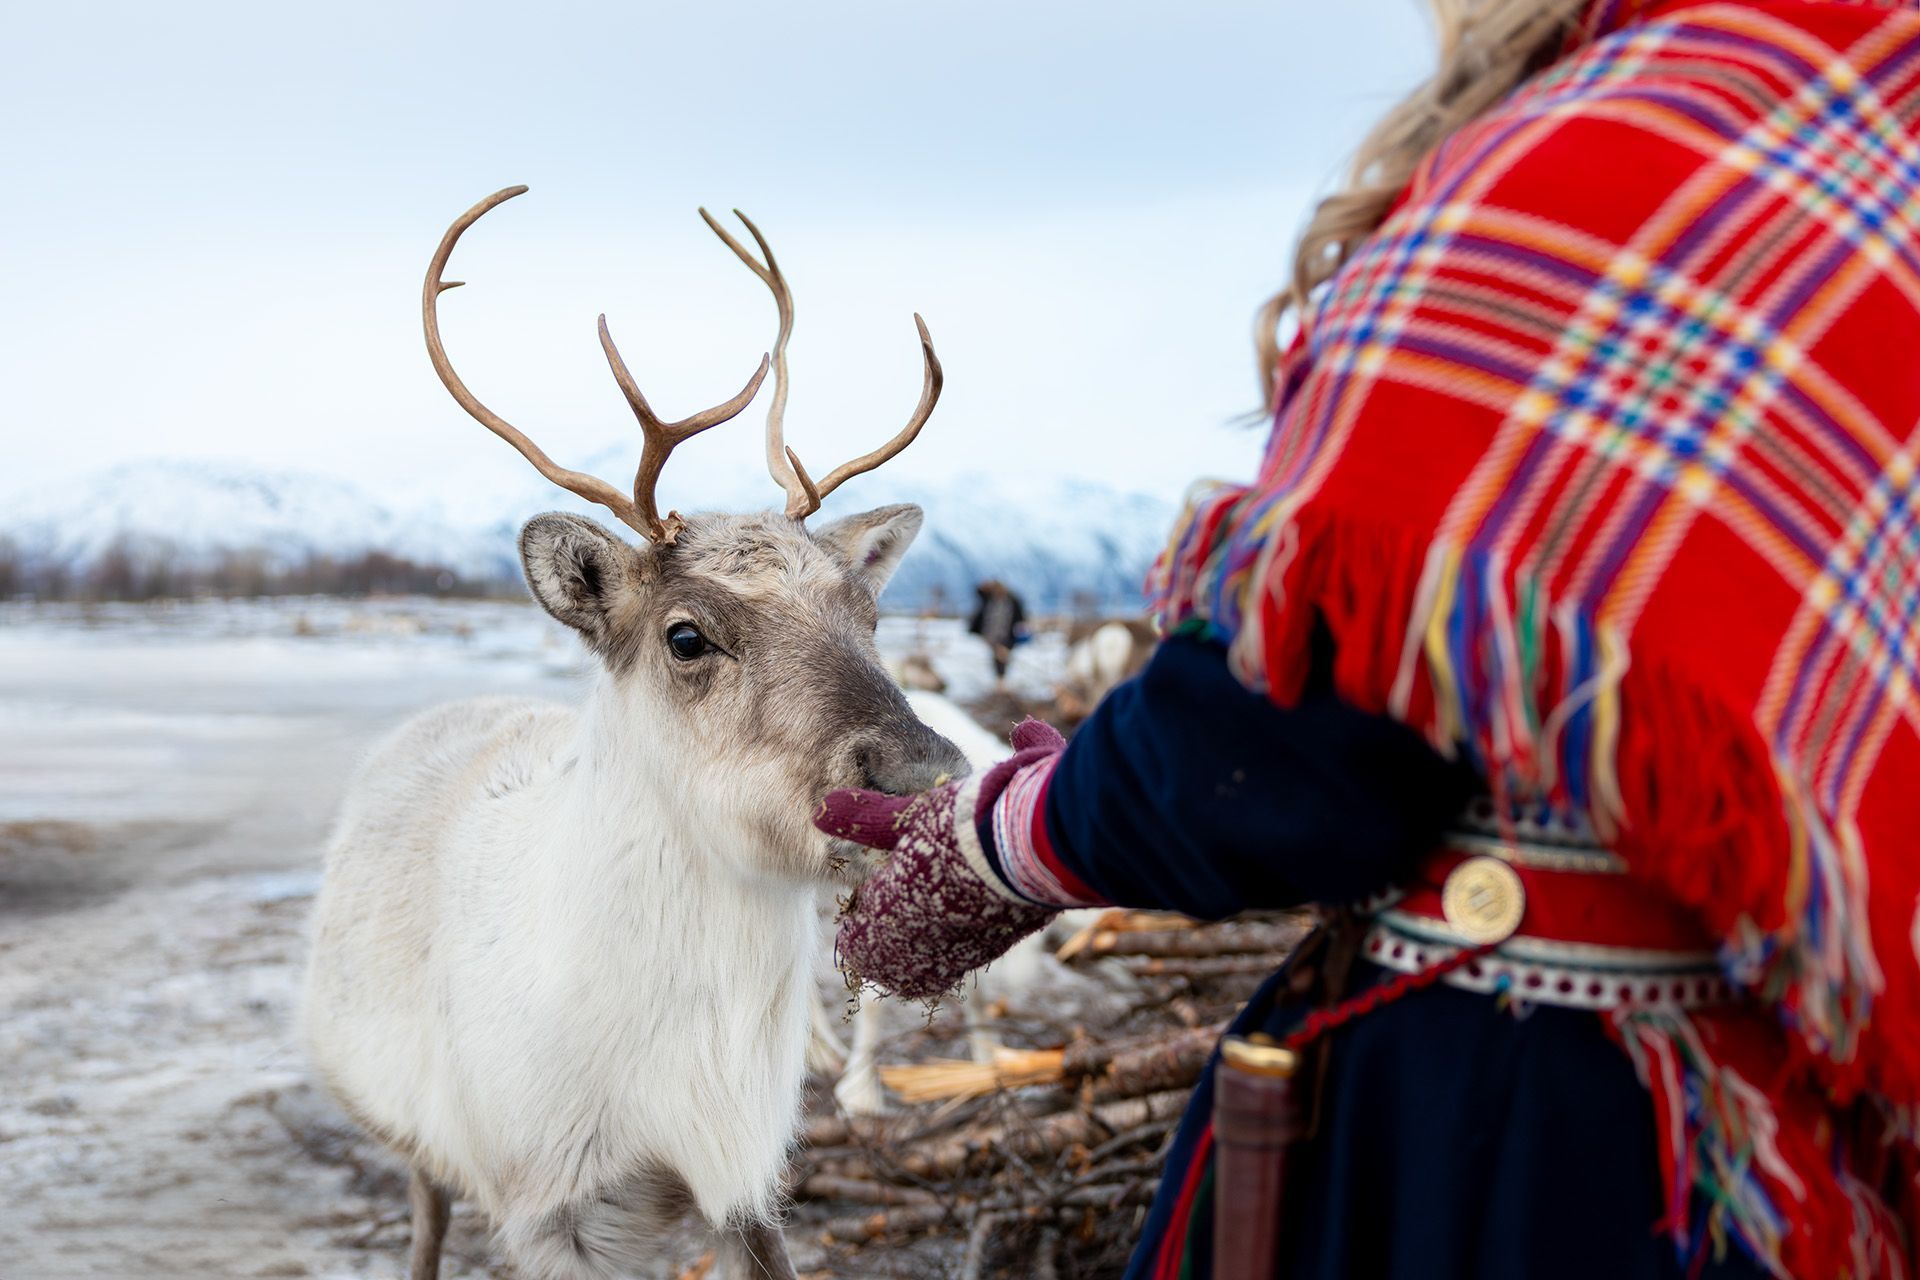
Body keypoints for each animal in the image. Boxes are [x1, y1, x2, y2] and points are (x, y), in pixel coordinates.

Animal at [301, 186, 970, 1280]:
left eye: (868, 613)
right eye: (685, 634)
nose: (925, 770)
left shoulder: (746, 1184)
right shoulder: (552, 1212)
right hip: (417, 1140)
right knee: (426, 1215)